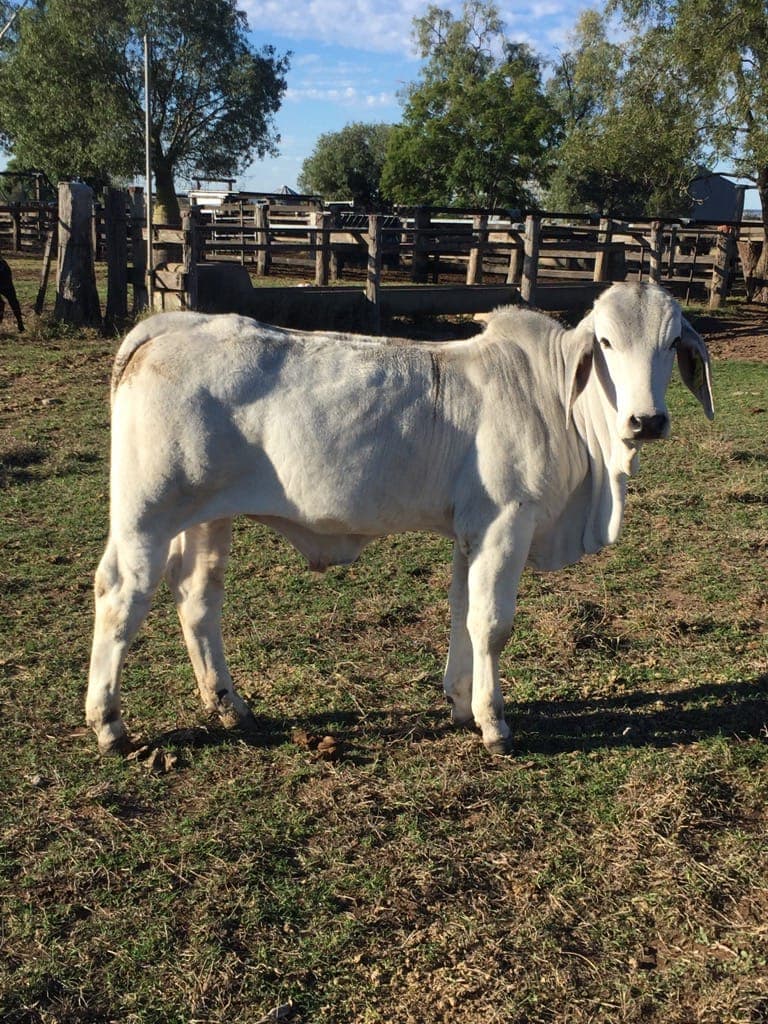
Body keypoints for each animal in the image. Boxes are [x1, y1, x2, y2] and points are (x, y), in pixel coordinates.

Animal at [86, 282, 713, 757]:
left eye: (671, 342)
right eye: (606, 341)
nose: (647, 420)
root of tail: (174, 325)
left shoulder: (472, 529)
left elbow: (462, 611)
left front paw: (460, 703)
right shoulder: (507, 523)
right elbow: (492, 624)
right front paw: (494, 723)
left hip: (206, 517)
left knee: (197, 597)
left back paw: (230, 706)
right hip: (147, 515)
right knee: (120, 593)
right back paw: (109, 723)